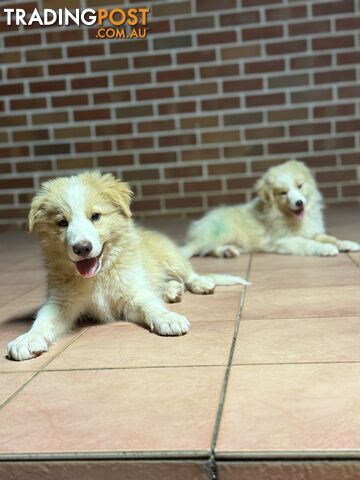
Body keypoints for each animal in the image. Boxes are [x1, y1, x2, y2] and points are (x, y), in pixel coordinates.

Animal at [7, 172, 249, 360]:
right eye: (62, 223)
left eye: (96, 216)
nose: (82, 248)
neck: (98, 276)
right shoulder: (61, 303)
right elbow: (43, 320)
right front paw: (27, 339)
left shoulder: (133, 292)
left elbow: (150, 305)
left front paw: (168, 319)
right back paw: (172, 290)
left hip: (170, 255)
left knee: (187, 274)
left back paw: (199, 283)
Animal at [183, 160, 360, 258]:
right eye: (283, 193)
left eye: (300, 186)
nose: (299, 203)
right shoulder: (284, 239)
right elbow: (307, 243)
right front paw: (326, 249)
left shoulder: (313, 231)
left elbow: (328, 237)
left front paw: (348, 244)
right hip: (220, 233)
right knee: (197, 247)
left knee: (207, 249)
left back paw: (228, 252)